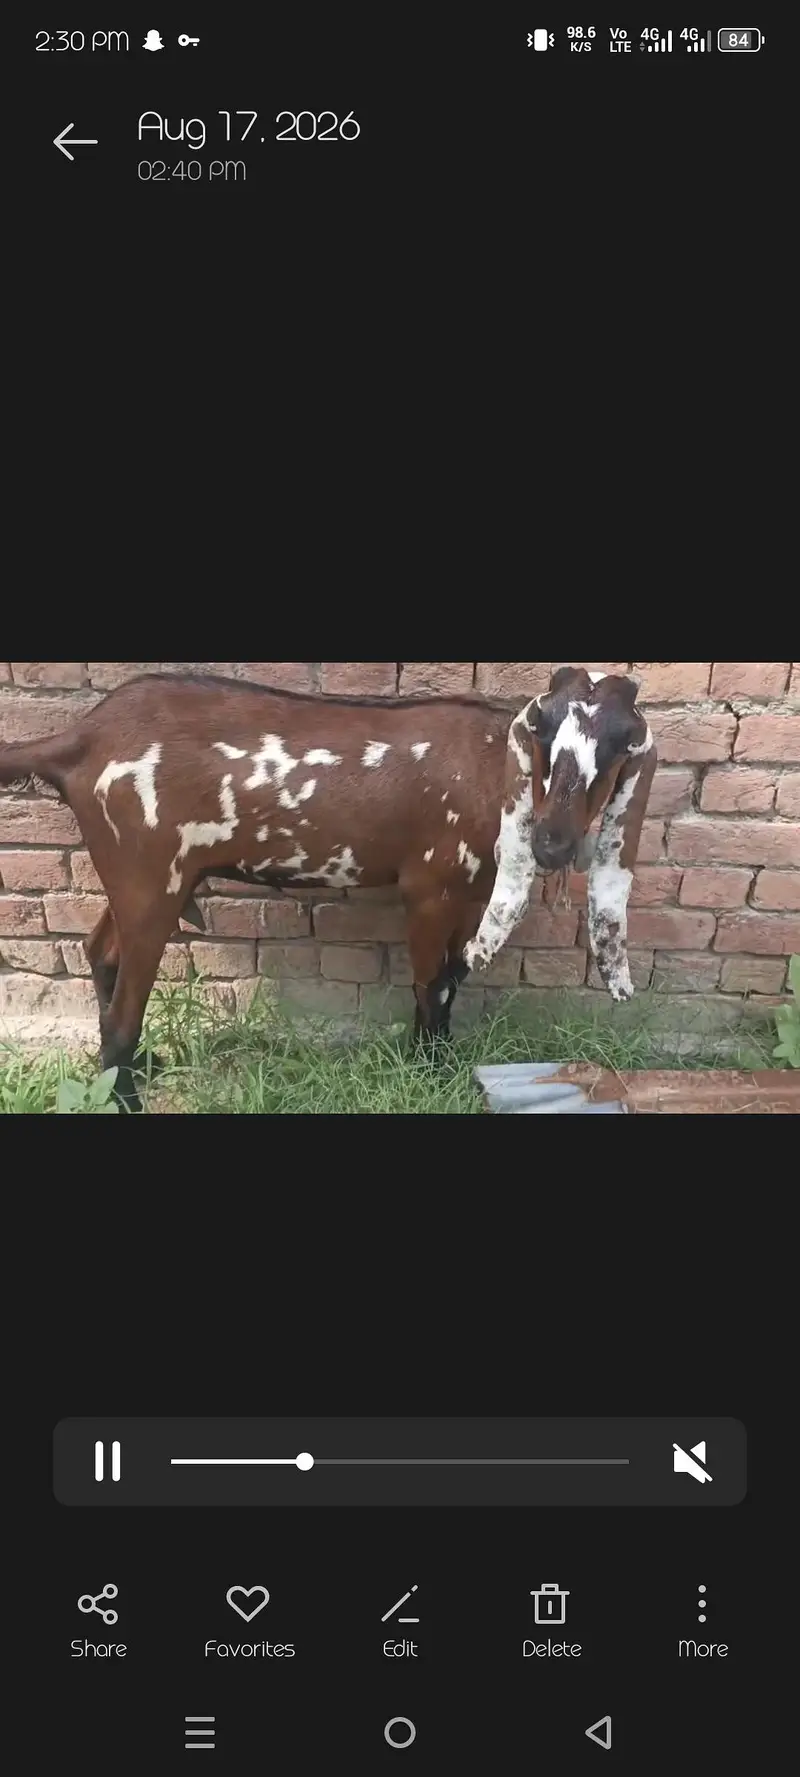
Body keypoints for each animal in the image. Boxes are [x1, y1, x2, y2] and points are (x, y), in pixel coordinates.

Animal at [0, 667, 656, 1109]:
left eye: (623, 742)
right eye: (541, 729)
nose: (552, 843)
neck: (491, 771)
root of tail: (81, 738)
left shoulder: (473, 896)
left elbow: (452, 981)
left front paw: (439, 1064)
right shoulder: (429, 888)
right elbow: (429, 985)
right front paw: (429, 1074)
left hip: (144, 878)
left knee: (99, 952)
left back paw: (135, 1071)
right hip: (147, 878)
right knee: (125, 1001)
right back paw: (126, 1096)